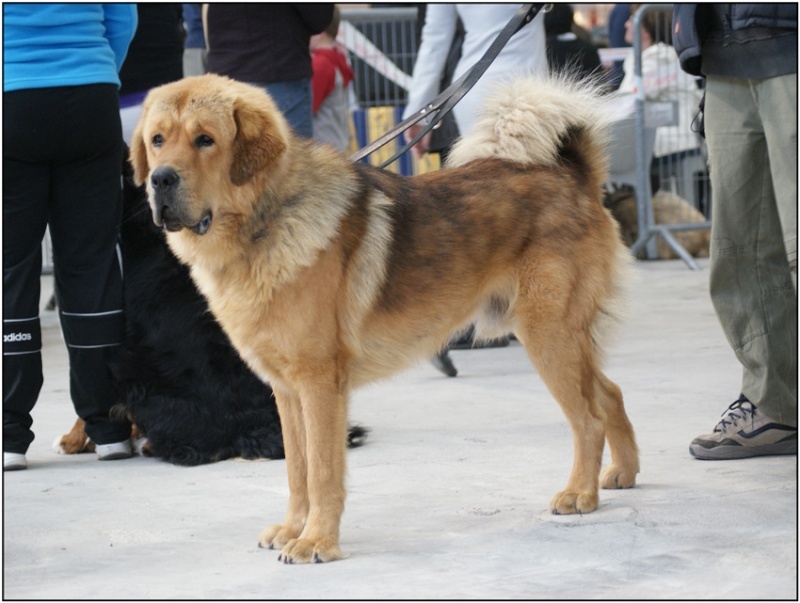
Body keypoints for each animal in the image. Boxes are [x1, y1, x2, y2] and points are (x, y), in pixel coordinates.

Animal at [131, 73, 640, 564]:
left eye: (205, 140)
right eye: (157, 140)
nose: (160, 179)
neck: (267, 219)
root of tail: (573, 174)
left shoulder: (319, 385)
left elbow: (322, 472)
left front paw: (317, 542)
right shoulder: (286, 391)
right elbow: (297, 471)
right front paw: (294, 530)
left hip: (547, 336)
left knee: (588, 419)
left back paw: (579, 493)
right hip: (563, 340)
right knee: (610, 394)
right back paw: (623, 472)